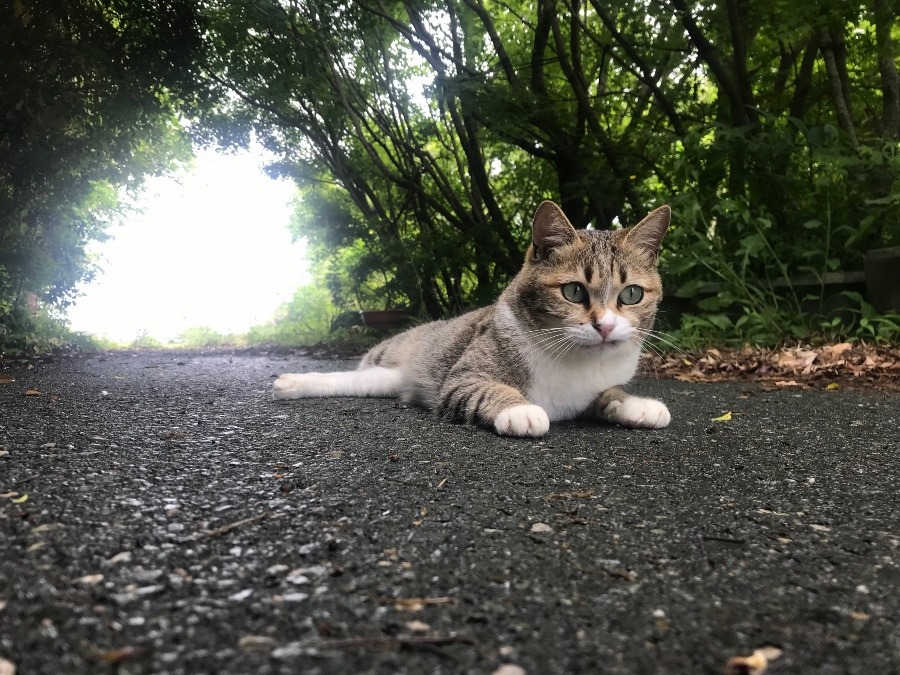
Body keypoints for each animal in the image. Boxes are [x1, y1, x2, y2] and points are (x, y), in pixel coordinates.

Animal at [270, 201, 672, 438]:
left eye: (631, 295)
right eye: (574, 291)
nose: (605, 326)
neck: (574, 359)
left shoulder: (593, 388)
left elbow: (610, 393)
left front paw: (637, 404)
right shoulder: (462, 378)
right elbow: (490, 388)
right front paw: (521, 410)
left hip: (381, 380)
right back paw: (288, 383)